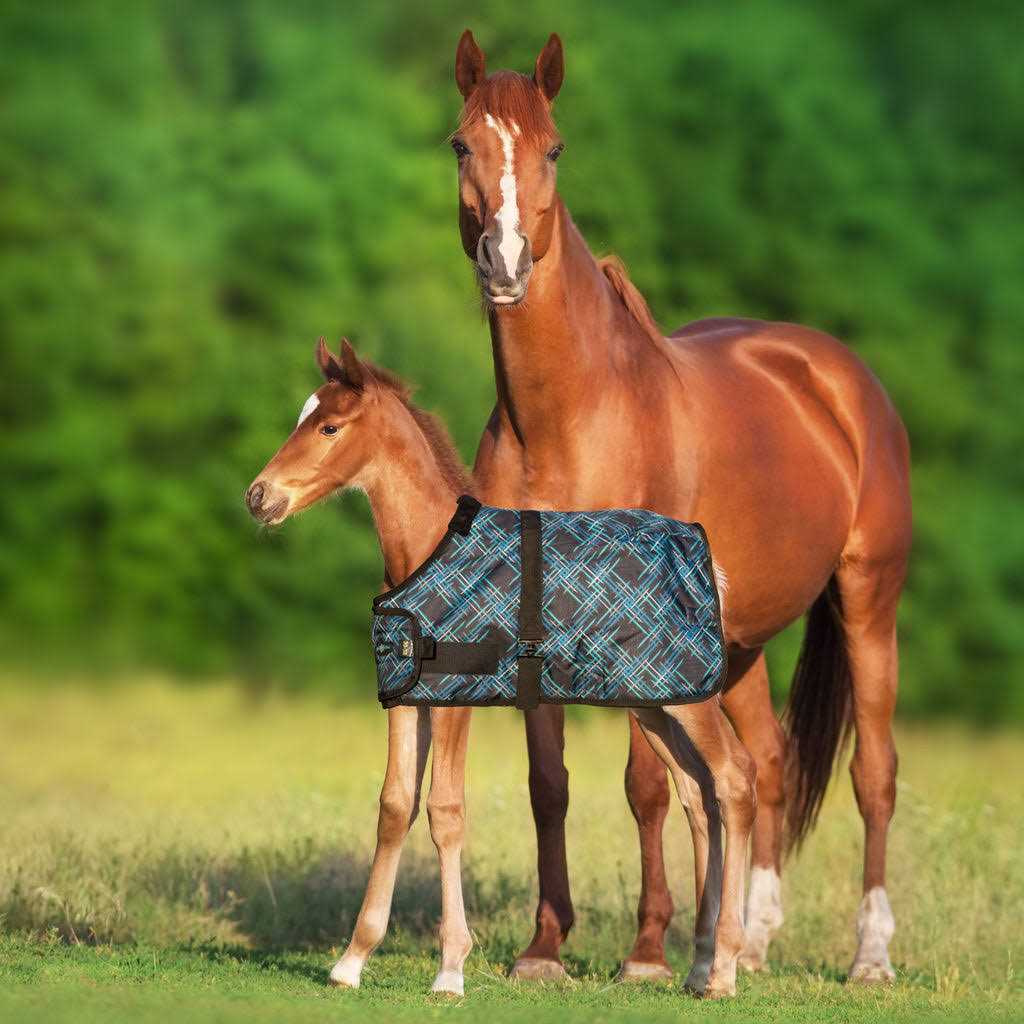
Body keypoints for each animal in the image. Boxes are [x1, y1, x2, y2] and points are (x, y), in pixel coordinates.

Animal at [246, 338, 756, 998]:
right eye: (300, 418)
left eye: (329, 426)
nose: (259, 497)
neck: (427, 548)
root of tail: (707, 562)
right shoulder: (405, 699)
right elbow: (394, 807)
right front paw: (351, 961)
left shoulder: (456, 699)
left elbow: (445, 812)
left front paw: (451, 969)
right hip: (653, 703)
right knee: (699, 794)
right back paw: (697, 967)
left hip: (688, 700)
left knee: (735, 779)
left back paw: (725, 968)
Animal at [450, 29, 912, 986]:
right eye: (460, 145)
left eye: (554, 149)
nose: (505, 265)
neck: (571, 417)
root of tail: (838, 378)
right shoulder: (537, 621)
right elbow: (550, 784)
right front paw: (545, 948)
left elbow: (647, 784)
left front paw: (648, 953)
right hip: (738, 642)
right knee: (767, 765)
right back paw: (754, 939)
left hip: (868, 600)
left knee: (875, 774)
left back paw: (870, 956)